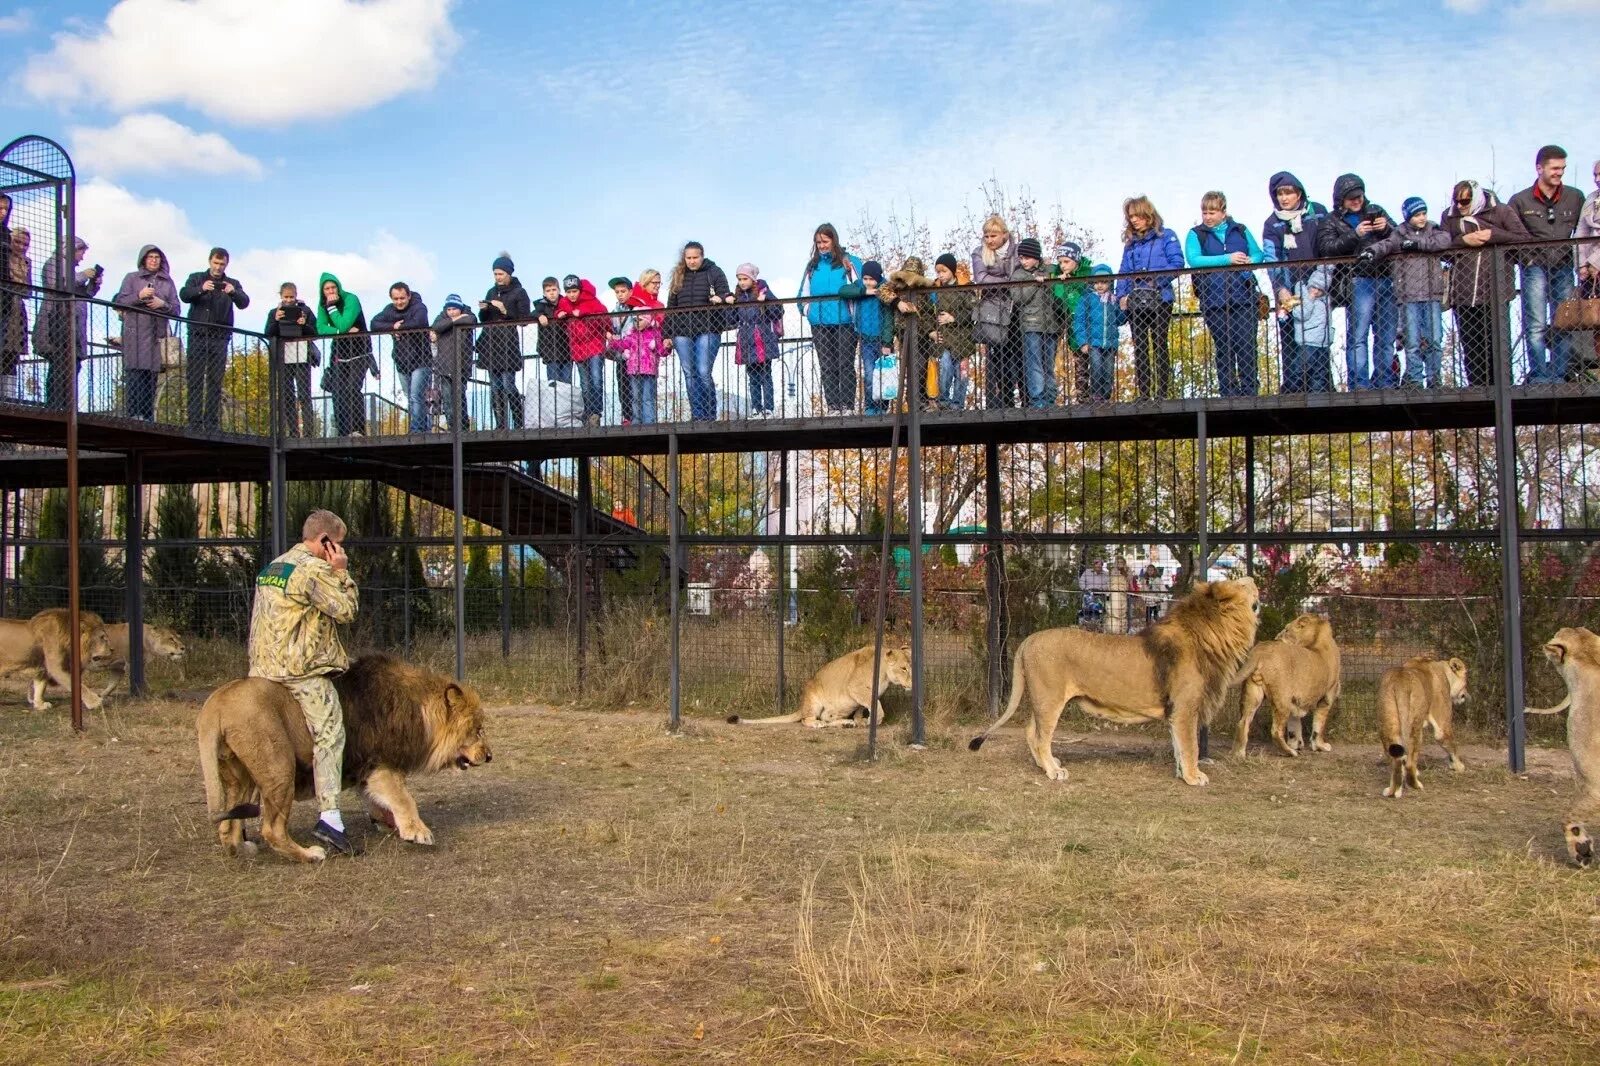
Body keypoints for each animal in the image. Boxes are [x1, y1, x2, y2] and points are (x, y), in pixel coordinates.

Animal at [196, 646, 489, 864]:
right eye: (477, 729)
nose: (489, 757)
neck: (418, 710)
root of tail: (215, 704)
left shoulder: (365, 770)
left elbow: (380, 802)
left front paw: (389, 824)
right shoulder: (380, 763)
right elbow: (404, 799)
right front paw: (418, 831)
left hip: (241, 776)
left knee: (227, 826)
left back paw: (242, 849)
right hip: (280, 767)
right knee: (272, 829)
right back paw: (311, 854)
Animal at [966, 576, 1254, 784]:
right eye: (1241, 584)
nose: (1252, 578)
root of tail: (1029, 640)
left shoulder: (1176, 710)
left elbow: (1178, 745)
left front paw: (1183, 774)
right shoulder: (1185, 707)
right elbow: (1190, 745)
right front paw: (1194, 777)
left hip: (1045, 698)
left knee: (1030, 731)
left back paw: (1046, 765)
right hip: (1049, 698)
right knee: (1040, 736)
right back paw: (1053, 772)